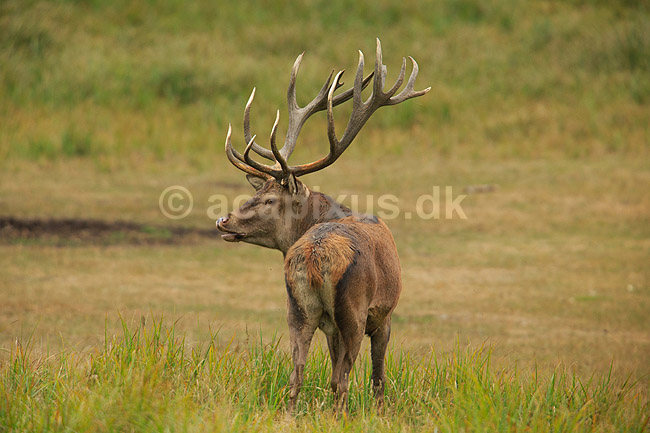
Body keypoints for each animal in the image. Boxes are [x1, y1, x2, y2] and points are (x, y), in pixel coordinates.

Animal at [216, 39, 429, 412]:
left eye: (267, 199)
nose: (223, 220)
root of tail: (314, 258)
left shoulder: (327, 325)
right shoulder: (384, 314)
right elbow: (378, 377)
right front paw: (380, 413)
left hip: (297, 309)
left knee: (296, 374)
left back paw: (291, 414)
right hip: (352, 312)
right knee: (341, 380)